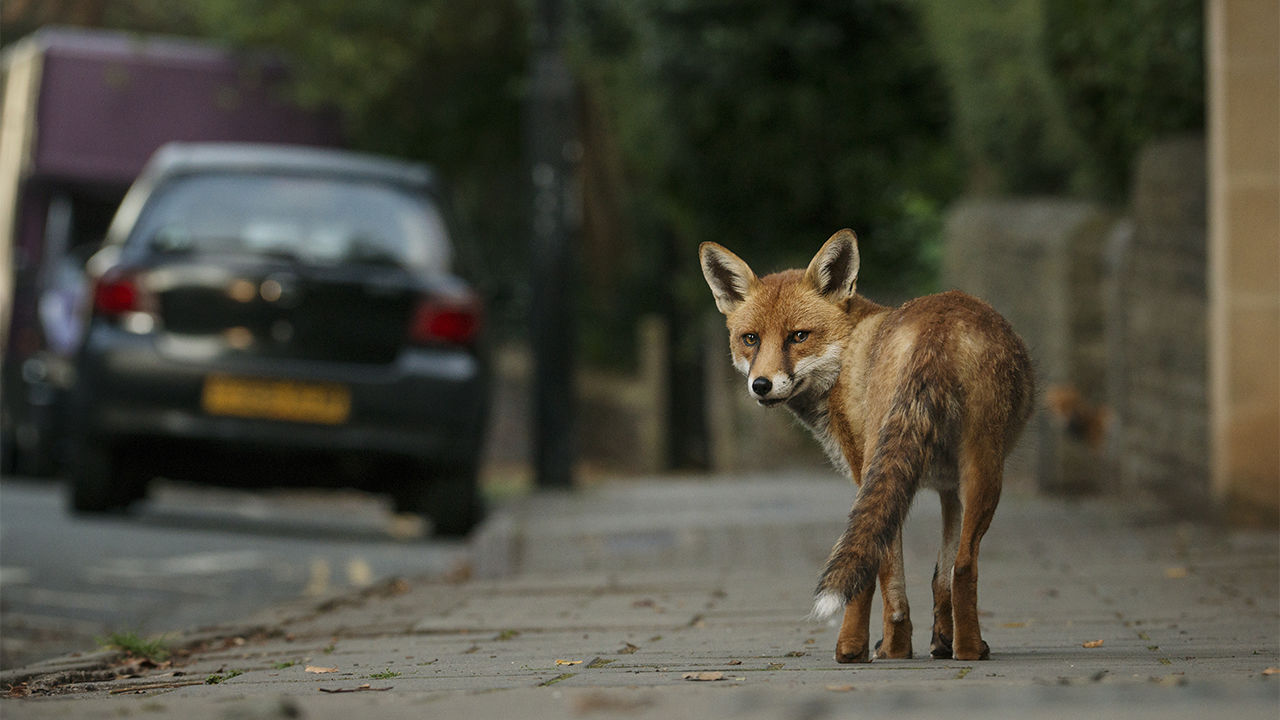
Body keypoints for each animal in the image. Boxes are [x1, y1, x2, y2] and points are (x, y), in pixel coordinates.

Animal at [696, 229, 1034, 661]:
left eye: (799, 336)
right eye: (750, 339)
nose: (761, 385)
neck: (847, 357)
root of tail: (938, 324)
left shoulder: (863, 475)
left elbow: (875, 574)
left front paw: (854, 648)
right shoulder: (948, 489)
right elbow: (938, 576)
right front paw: (940, 641)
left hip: (898, 464)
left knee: (897, 570)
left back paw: (903, 650)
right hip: (977, 469)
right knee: (963, 566)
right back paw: (966, 648)